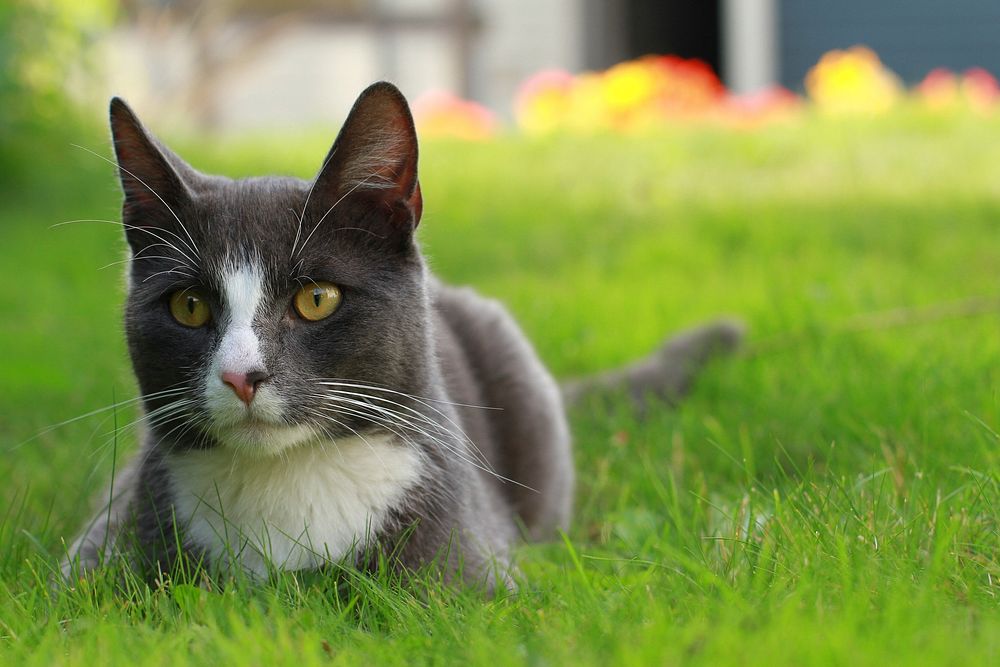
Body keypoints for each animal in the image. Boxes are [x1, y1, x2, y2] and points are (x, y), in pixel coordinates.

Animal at [58, 82, 740, 588]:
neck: (287, 484)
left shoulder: (468, 555)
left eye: (316, 298)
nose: (240, 376)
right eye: (190, 306)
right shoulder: (110, 539)